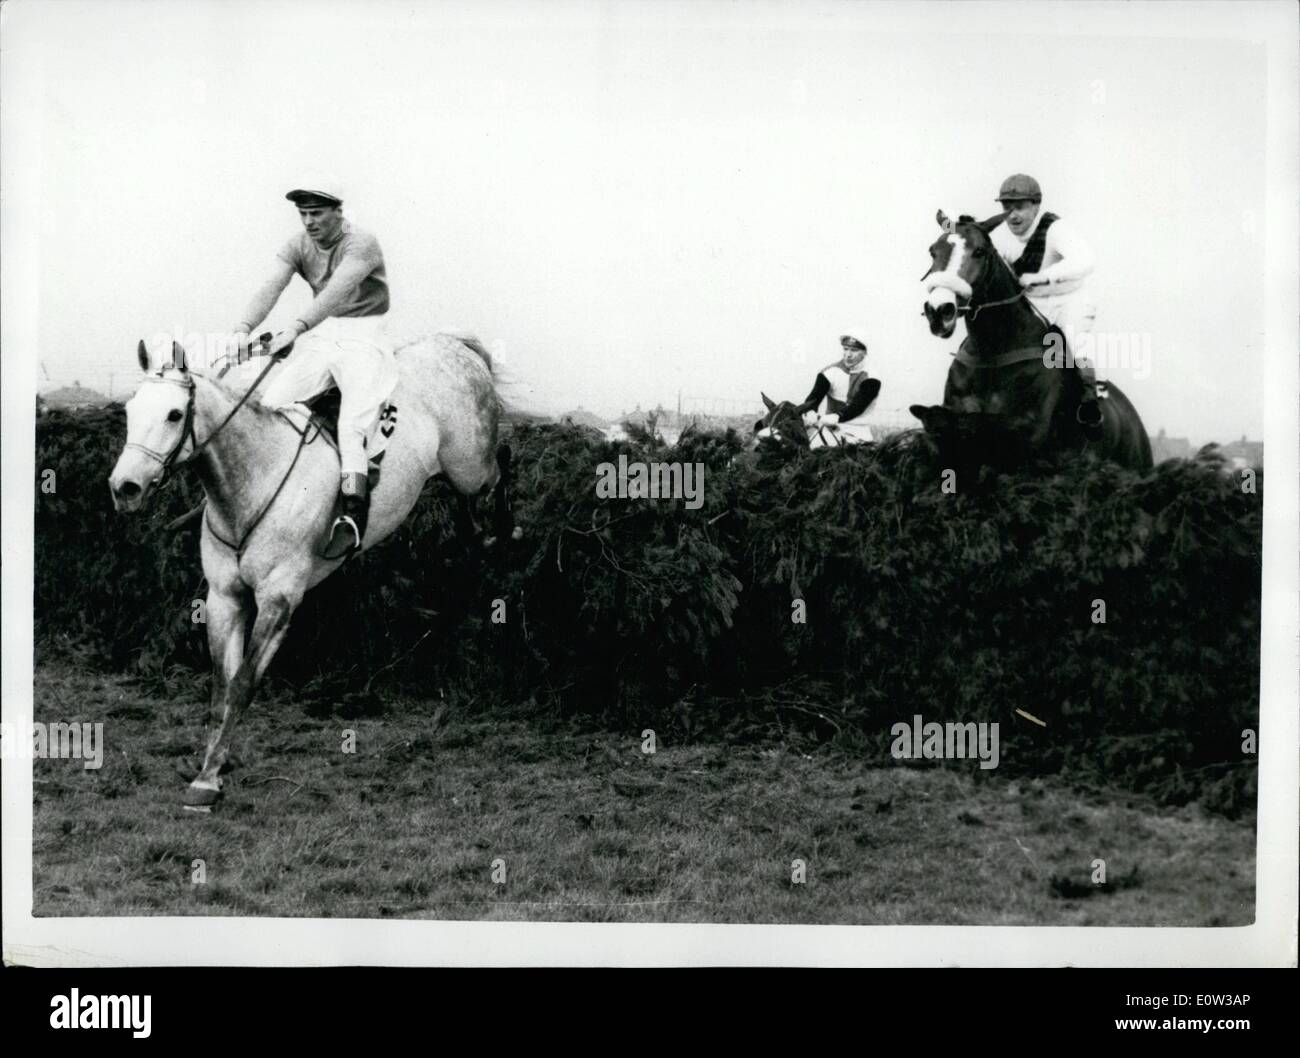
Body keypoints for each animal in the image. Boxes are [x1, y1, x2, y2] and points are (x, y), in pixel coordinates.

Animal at [909, 211, 1154, 467]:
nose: (939, 310)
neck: (993, 353)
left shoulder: (1029, 430)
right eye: (933, 251)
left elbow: (981, 423)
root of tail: (1135, 420)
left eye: (979, 251)